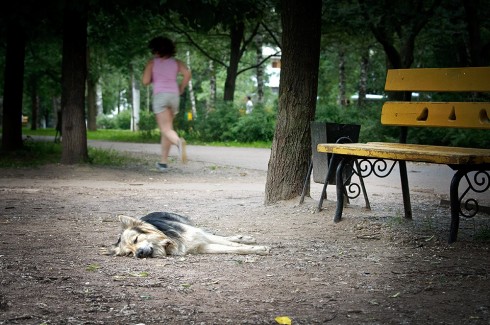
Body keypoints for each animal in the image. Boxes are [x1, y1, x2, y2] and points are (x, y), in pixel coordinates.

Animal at [102, 210, 272, 258]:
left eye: (136, 239)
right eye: (129, 253)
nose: (139, 254)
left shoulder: (197, 235)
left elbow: (232, 244)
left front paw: (258, 248)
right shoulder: (202, 247)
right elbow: (231, 248)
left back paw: (245, 238)